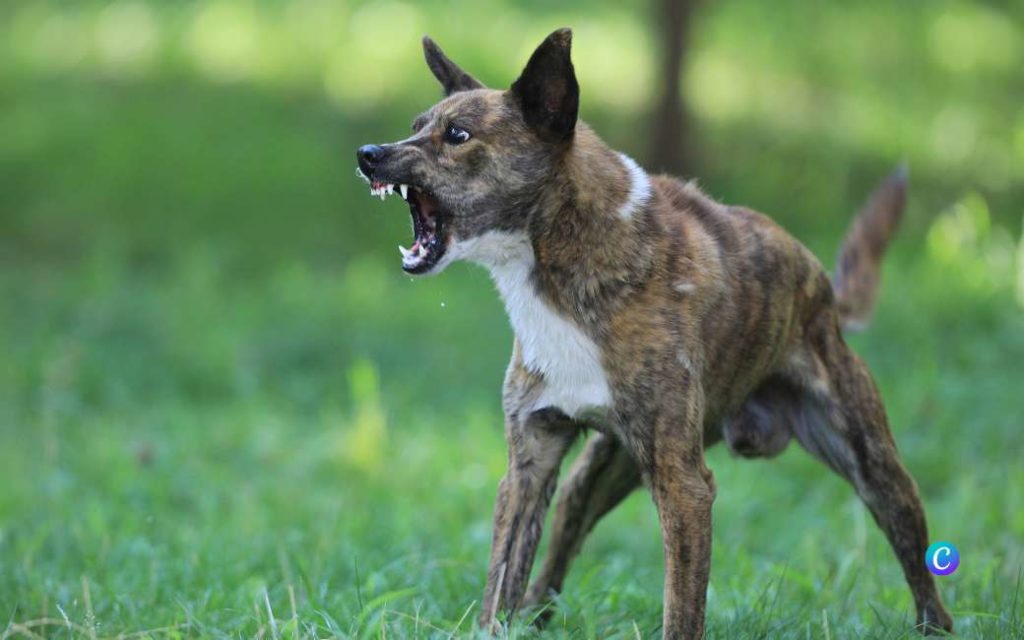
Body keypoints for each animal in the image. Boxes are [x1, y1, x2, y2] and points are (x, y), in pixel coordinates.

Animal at [356, 27, 954, 634]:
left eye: (458, 135)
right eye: (417, 125)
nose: (368, 155)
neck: (561, 260)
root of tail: (825, 291)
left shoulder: (685, 488)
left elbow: (681, 608)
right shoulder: (530, 462)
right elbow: (501, 578)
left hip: (874, 466)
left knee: (917, 561)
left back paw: (935, 625)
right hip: (599, 472)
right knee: (559, 546)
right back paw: (538, 615)